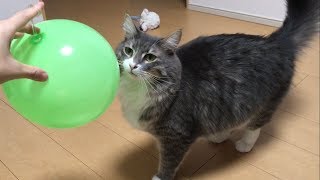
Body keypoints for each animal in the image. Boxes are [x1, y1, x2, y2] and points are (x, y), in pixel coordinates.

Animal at [114, 0, 318, 179]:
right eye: (128, 51)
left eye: (150, 57)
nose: (132, 65)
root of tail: (275, 42)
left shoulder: (176, 136)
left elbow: (168, 163)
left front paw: (160, 177)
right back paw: (218, 136)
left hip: (264, 102)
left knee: (255, 125)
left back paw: (244, 144)